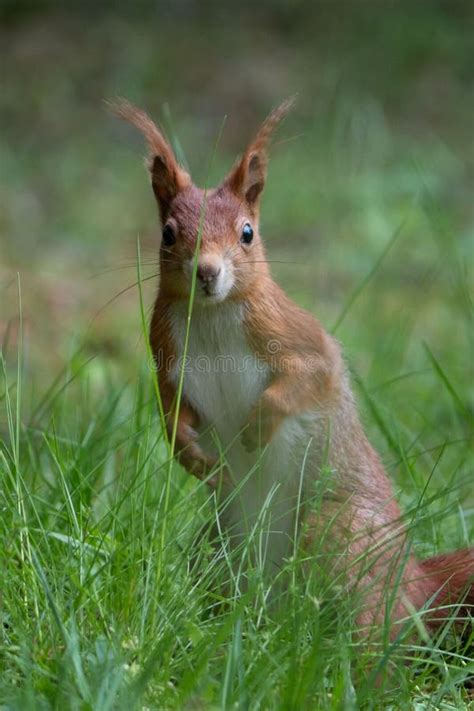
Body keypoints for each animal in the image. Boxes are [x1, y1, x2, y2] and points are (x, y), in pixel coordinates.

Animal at [113, 97, 472, 636]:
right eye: (168, 234)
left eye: (247, 233)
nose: (207, 273)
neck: (215, 316)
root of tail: (416, 587)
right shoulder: (166, 359)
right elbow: (171, 411)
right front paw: (193, 456)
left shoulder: (302, 340)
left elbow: (305, 380)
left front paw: (257, 427)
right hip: (215, 544)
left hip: (339, 536)